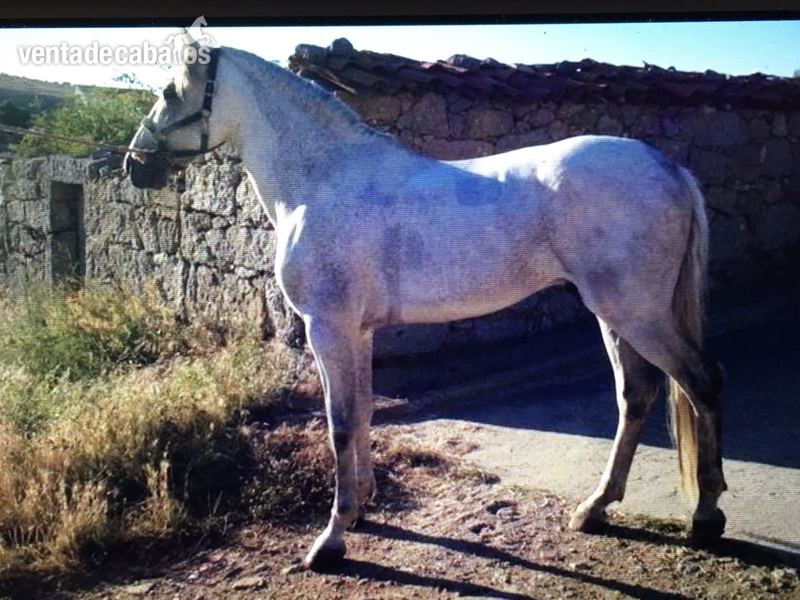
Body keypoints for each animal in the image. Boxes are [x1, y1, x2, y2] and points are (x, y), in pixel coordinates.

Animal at [125, 38, 727, 570]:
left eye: (170, 91)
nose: (135, 164)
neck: (322, 180)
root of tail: (669, 168)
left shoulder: (327, 329)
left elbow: (339, 423)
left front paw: (331, 539)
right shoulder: (358, 333)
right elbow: (363, 413)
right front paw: (361, 506)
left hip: (637, 312)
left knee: (701, 382)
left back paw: (705, 514)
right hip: (615, 314)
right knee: (637, 395)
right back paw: (595, 508)